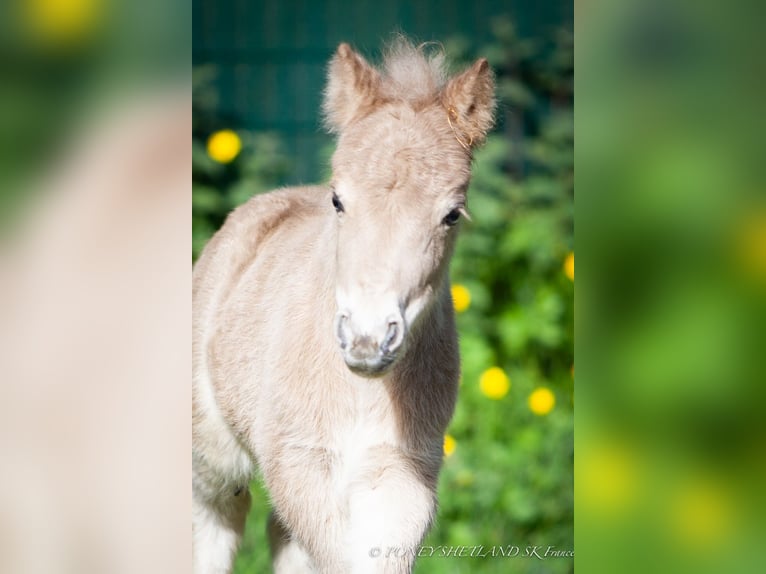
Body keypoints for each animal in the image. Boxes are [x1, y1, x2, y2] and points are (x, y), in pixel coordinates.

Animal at [194, 41, 498, 574]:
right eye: (338, 200)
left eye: (452, 215)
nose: (367, 339)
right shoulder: (299, 460)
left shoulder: (401, 470)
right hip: (213, 451)